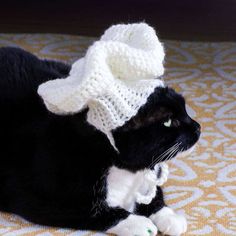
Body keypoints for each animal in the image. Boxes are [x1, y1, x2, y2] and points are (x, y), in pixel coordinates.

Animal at [0, 46, 201, 236]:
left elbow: (154, 193)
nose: (198, 127)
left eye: (184, 109)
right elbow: (92, 211)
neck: (127, 172)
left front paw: (168, 216)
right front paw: (138, 223)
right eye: (168, 121)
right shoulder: (36, 197)